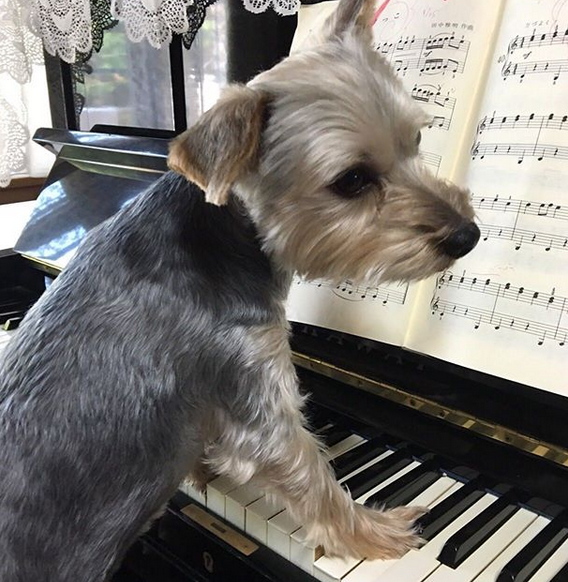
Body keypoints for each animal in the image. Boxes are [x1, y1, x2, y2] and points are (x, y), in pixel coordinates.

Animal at [0, 0, 480, 580]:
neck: (224, 234)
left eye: (417, 142)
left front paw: (201, 474)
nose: (468, 234)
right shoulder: (250, 375)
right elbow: (310, 471)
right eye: (352, 181)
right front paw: (373, 531)